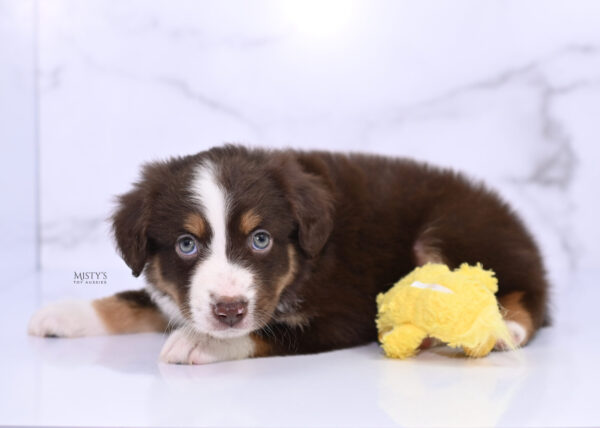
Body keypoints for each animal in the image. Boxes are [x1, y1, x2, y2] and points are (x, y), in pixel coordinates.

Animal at [29, 145, 552, 362]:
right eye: (186, 244)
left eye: (261, 239)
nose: (229, 309)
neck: (304, 266)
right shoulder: (181, 294)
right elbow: (135, 299)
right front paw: (65, 313)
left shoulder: (346, 312)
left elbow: (272, 331)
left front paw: (203, 344)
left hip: (449, 231)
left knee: (528, 298)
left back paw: (501, 329)